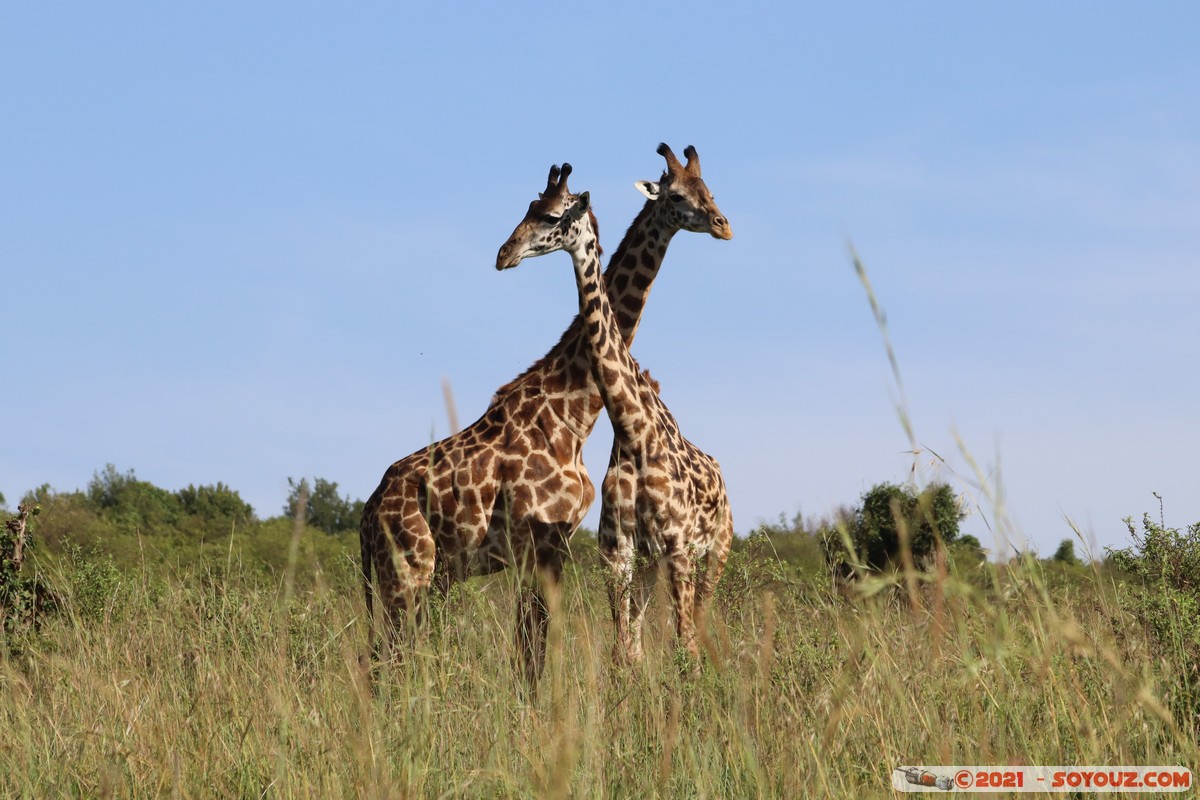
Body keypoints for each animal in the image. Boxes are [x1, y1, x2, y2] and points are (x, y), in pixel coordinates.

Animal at [357, 142, 729, 681]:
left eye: (551, 215)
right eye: (678, 195)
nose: (504, 254)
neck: (574, 414)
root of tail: (367, 514)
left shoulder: (557, 547)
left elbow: (534, 651)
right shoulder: (545, 546)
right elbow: (533, 655)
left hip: (422, 575)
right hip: (409, 571)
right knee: (391, 657)